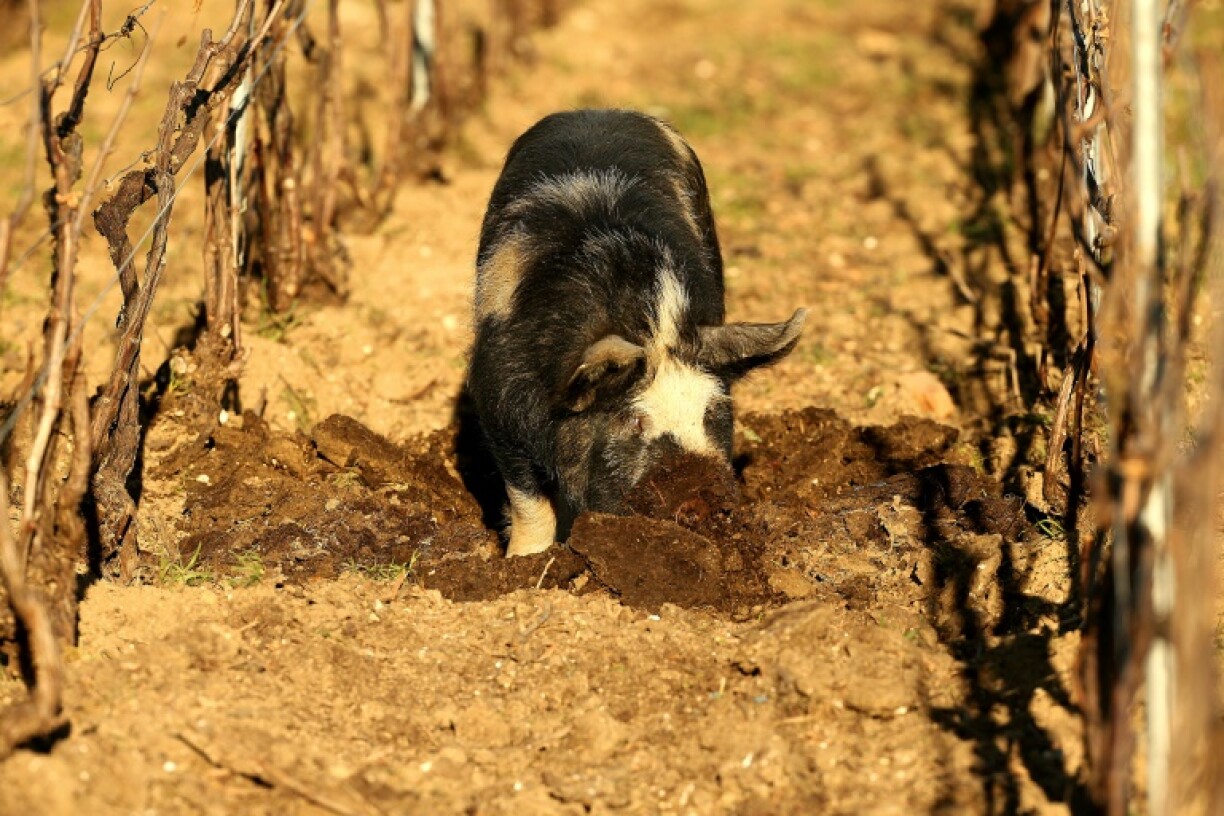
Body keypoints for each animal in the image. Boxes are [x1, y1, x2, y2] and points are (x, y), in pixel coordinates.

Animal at [468, 109, 806, 556]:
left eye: (712, 412)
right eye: (634, 420)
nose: (702, 502)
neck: (653, 326)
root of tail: (597, 110)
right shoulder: (498, 408)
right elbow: (530, 502)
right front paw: (523, 560)